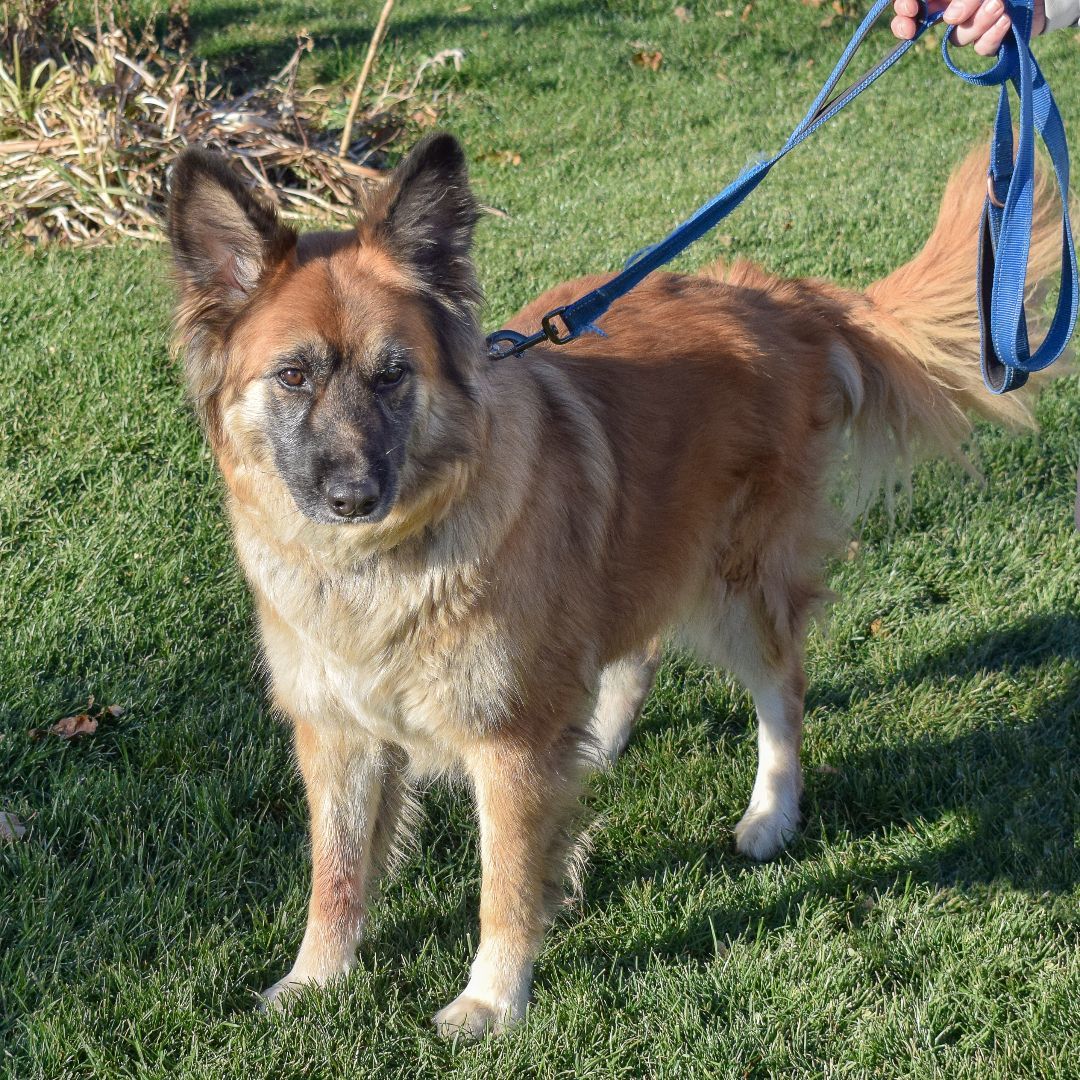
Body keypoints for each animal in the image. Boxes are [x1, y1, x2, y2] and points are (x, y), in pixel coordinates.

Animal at [164, 135, 1058, 1036]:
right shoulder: (338, 733)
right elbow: (337, 872)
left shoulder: (509, 744)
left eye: (392, 376)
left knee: (782, 688)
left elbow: (506, 883)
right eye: (292, 377)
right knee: (637, 655)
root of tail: (780, 299)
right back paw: (602, 740)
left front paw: (492, 1000)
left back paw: (770, 814)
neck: (389, 557)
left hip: (736, 581)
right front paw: (317, 978)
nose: (352, 496)